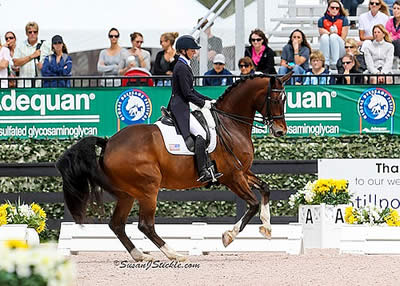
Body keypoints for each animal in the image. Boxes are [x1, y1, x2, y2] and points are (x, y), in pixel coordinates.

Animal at [56, 71, 292, 262]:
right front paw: (228, 236)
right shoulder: (232, 176)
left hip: (128, 193)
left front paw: (267, 227)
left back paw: (141, 255)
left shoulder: (242, 171)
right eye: (274, 98)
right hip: (148, 188)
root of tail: (108, 143)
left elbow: (265, 188)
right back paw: (174, 254)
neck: (230, 124)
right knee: (145, 225)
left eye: (285, 98)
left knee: (117, 224)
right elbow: (252, 204)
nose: (280, 131)